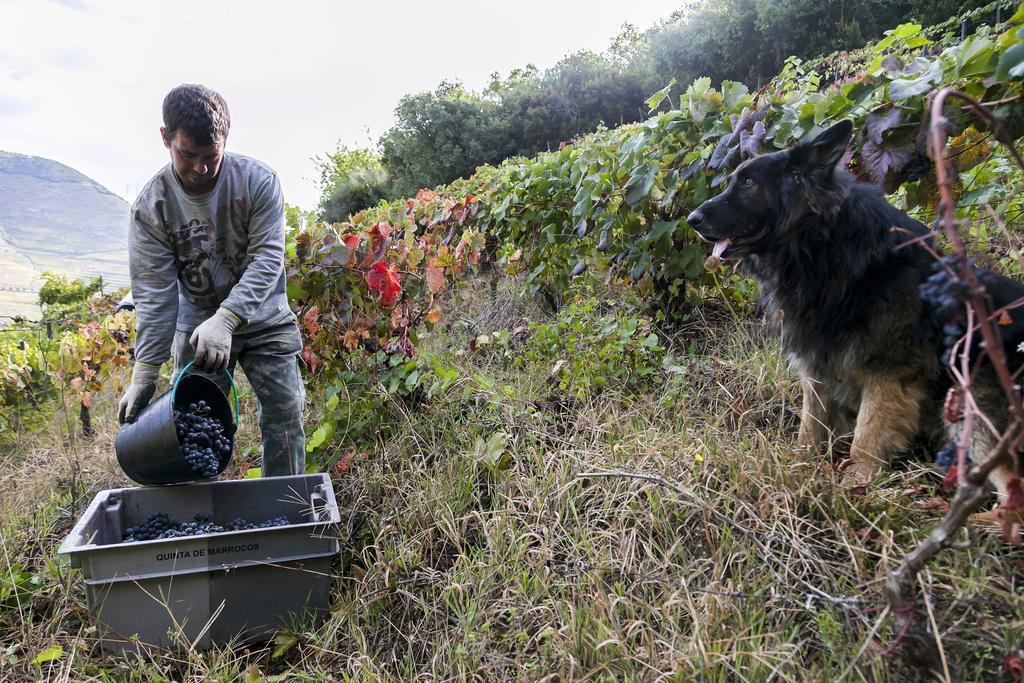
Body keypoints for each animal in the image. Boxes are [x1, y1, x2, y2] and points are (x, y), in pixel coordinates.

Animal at [684, 120, 1024, 499]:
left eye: (748, 183)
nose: (691, 218)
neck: (822, 245)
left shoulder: (887, 374)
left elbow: (867, 434)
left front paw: (855, 484)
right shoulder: (818, 365)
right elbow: (810, 424)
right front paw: (799, 464)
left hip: (973, 403)